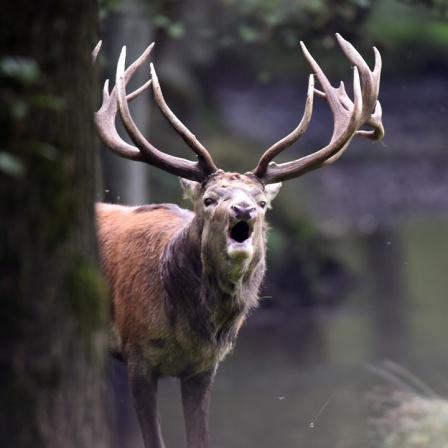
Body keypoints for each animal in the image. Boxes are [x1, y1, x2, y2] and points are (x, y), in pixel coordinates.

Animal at [93, 35, 384, 448]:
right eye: (209, 198)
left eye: (261, 201)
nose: (243, 209)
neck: (191, 325)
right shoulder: (137, 355)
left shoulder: (203, 367)